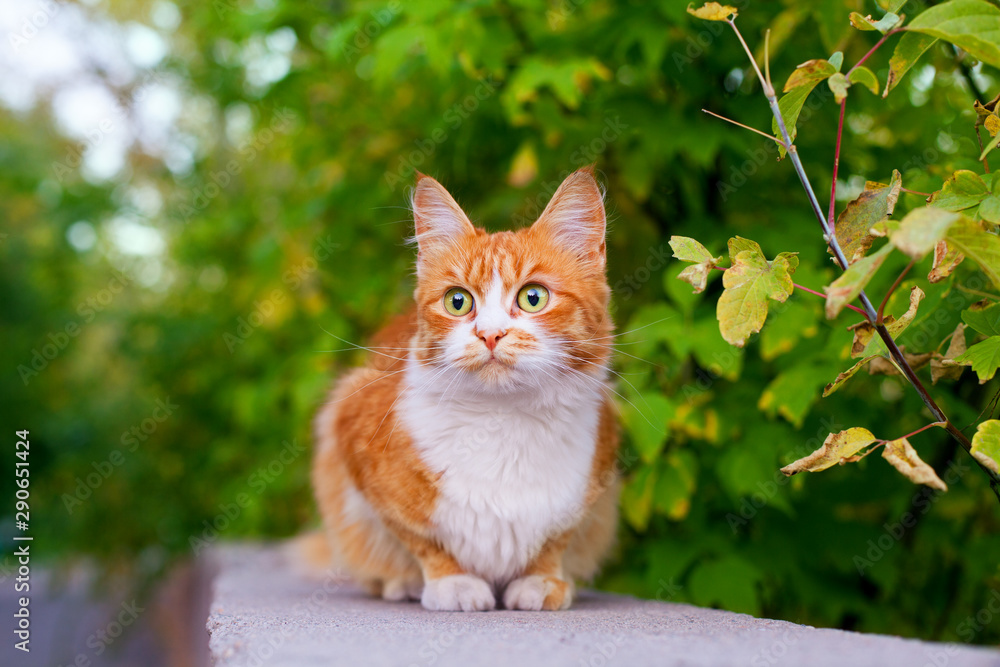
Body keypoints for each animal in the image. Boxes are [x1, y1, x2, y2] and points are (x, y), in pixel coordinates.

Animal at [312, 167, 620, 612]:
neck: (503, 420)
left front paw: (542, 580)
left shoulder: (592, 487)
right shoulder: (350, 434)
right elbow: (421, 539)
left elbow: (554, 541)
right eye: (458, 301)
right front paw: (451, 582)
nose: (490, 334)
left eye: (533, 297)